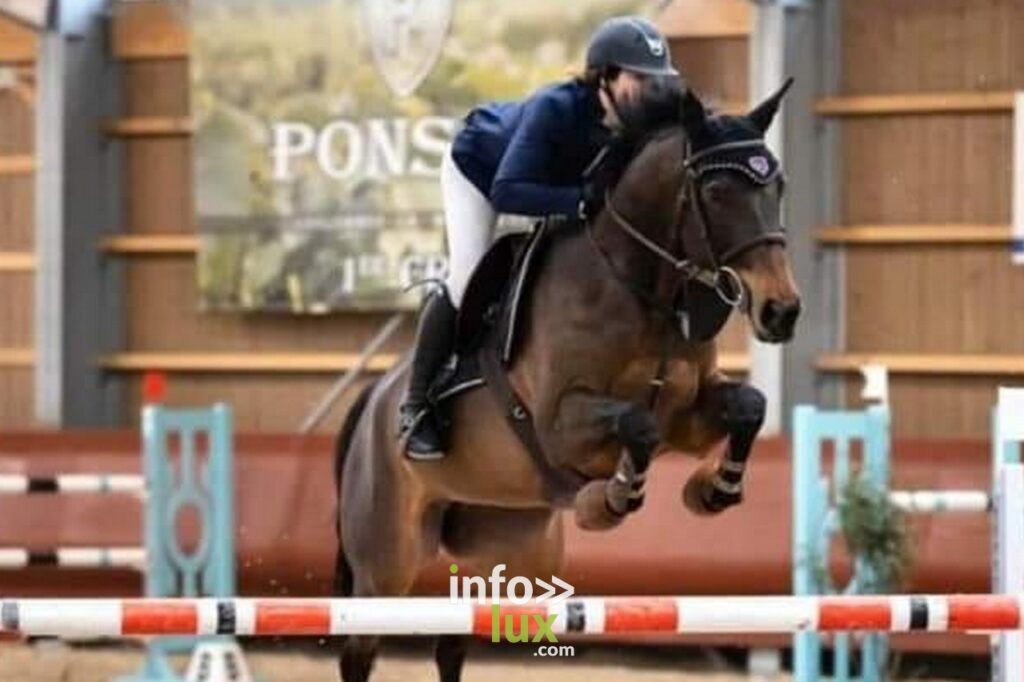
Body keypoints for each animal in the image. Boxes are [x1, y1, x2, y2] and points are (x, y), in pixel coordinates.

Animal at [333, 80, 798, 679]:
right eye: (717, 191)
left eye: (778, 186)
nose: (781, 311)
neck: (640, 288)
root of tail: (374, 399)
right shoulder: (561, 424)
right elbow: (637, 423)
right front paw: (614, 498)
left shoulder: (689, 419)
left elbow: (748, 404)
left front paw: (713, 489)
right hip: (386, 563)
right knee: (359, 648)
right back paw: (419, 424)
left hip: (504, 547)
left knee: (454, 643)